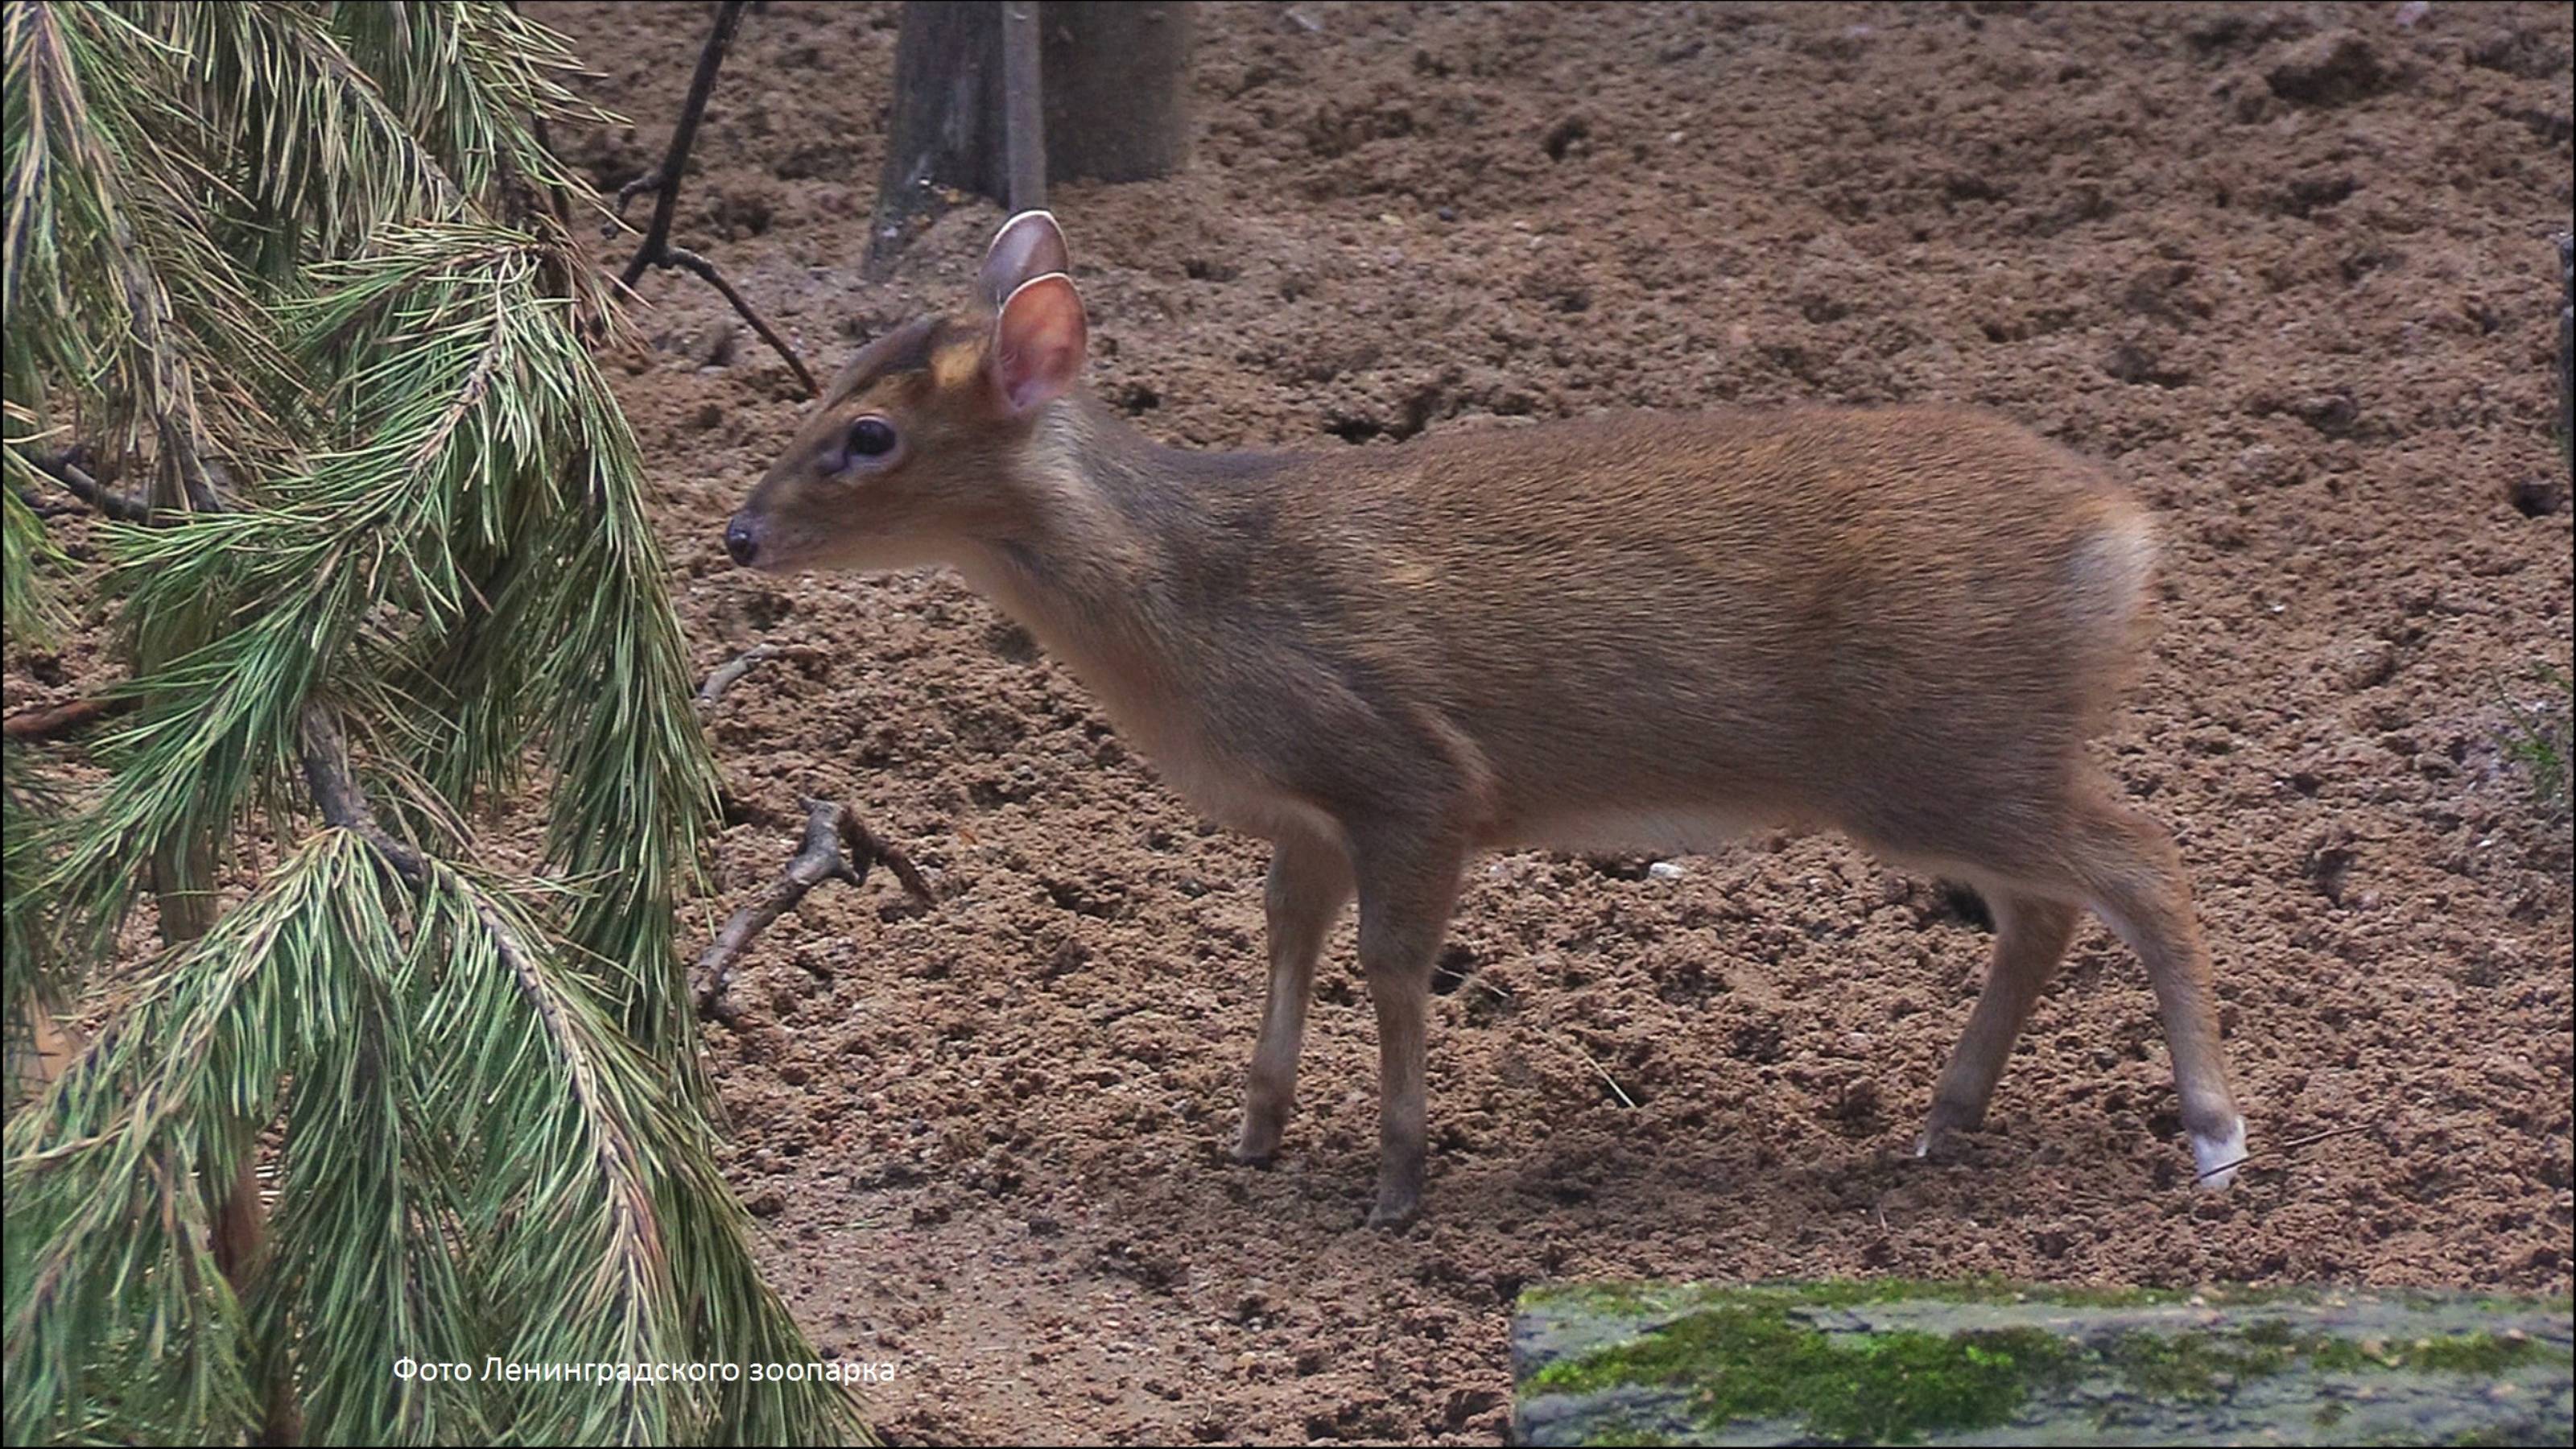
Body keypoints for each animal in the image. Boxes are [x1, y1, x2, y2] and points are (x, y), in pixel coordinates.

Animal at [721, 208, 2235, 1222]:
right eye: (828, 385)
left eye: (868, 436)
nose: (738, 534)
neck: (1195, 604)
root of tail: (2126, 536)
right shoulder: (1303, 812)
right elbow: (1285, 942)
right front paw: (1257, 1137)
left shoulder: (1413, 772)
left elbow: (1391, 966)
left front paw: (1398, 1182)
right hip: (1964, 762)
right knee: (2051, 908)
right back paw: (1941, 1123)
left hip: (1941, 750)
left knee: (2146, 865)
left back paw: (2214, 1136)